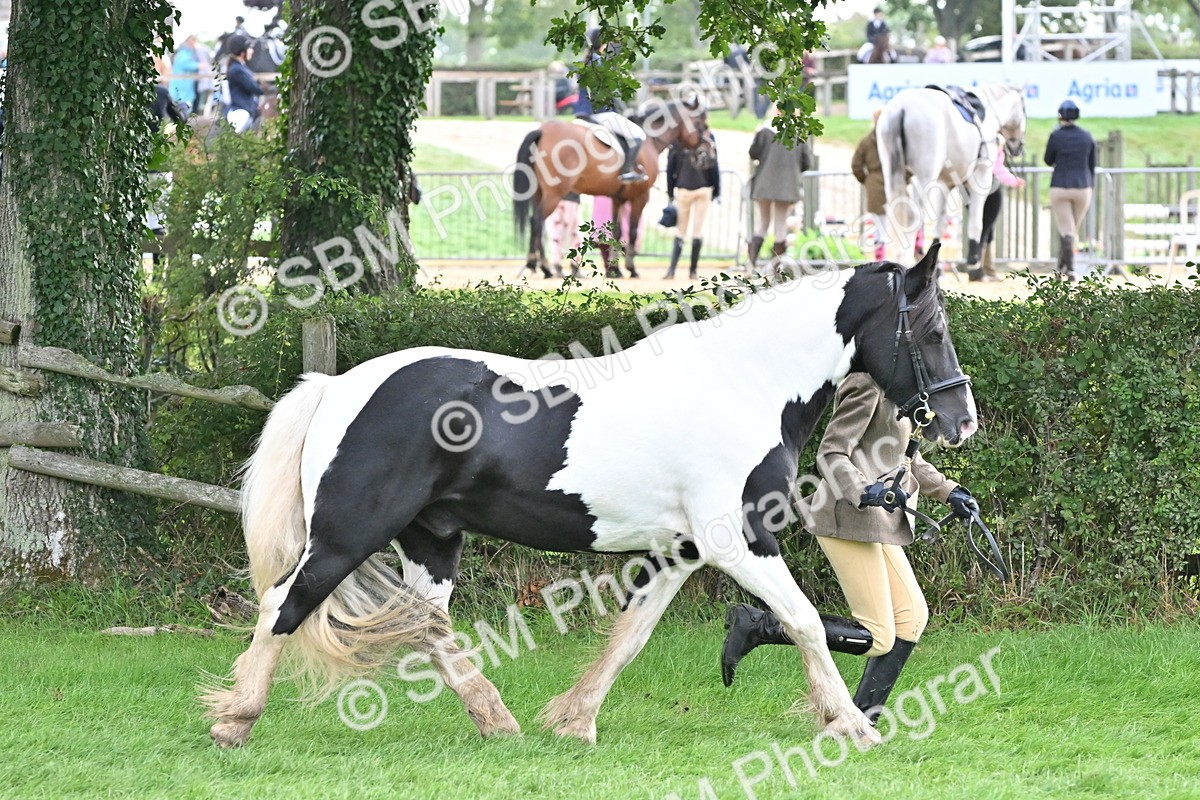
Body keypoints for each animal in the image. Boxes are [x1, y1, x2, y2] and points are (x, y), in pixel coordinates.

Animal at [202, 242, 976, 751]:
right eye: (934, 329)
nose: (962, 421)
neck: (743, 385)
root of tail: (336, 386)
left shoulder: (682, 550)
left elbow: (631, 637)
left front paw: (575, 721)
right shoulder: (741, 541)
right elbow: (806, 621)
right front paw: (850, 725)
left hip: (432, 537)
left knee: (427, 626)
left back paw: (496, 720)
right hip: (346, 534)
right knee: (284, 605)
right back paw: (236, 720)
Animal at [513, 99, 707, 279]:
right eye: (703, 124)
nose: (704, 154)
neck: (651, 140)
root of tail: (543, 130)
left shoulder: (617, 198)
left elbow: (617, 232)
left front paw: (615, 270)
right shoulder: (641, 197)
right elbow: (633, 231)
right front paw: (631, 269)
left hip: (539, 193)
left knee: (538, 225)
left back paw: (543, 268)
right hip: (554, 194)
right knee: (537, 221)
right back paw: (537, 265)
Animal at [876, 83, 1026, 267]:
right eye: (1024, 109)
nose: (1018, 147)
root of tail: (901, 108)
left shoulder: (945, 183)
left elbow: (940, 223)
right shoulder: (981, 177)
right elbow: (977, 220)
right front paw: (974, 259)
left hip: (892, 173)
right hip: (924, 177)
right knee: (912, 217)